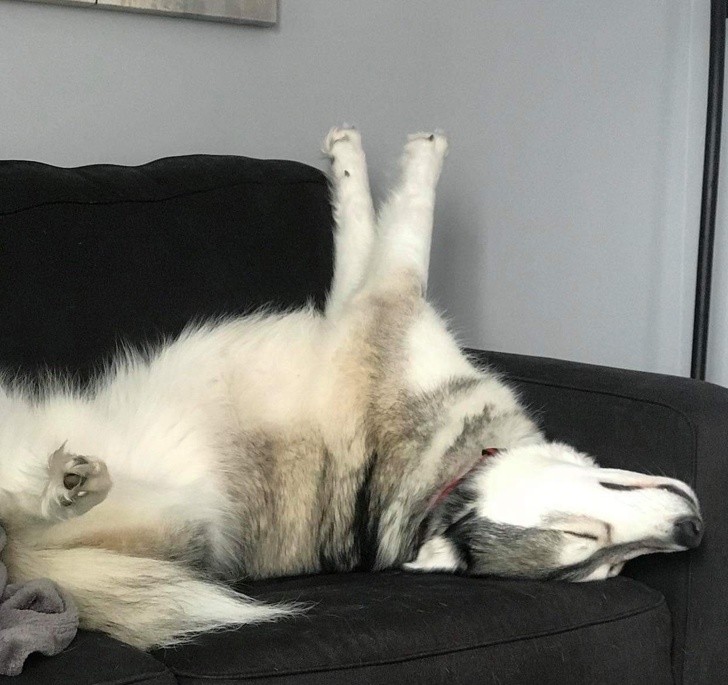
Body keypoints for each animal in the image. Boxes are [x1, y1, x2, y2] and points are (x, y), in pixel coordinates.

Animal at [0, 128, 702, 650]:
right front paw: (352, 163)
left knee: (22, 511)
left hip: (169, 517)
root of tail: (29, 569)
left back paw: (67, 485)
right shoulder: (360, 306)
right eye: (589, 542)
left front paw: (407, 156)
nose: (693, 531)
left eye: (607, 565)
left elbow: (403, 236)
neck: (441, 477)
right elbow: (374, 234)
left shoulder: (379, 306)